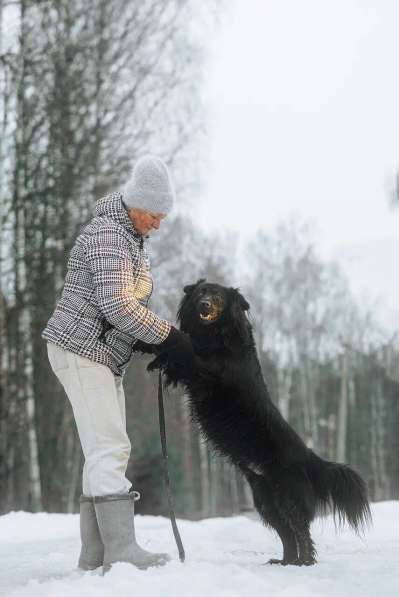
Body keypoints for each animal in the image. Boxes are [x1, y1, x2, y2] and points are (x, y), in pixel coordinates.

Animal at [137, 278, 372, 564]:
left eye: (218, 297)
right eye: (201, 293)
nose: (204, 304)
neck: (217, 334)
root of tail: (309, 457)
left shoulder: (206, 367)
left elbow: (183, 346)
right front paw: (144, 346)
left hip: (288, 496)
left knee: (301, 531)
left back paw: (303, 563)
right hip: (265, 500)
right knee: (286, 533)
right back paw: (285, 562)